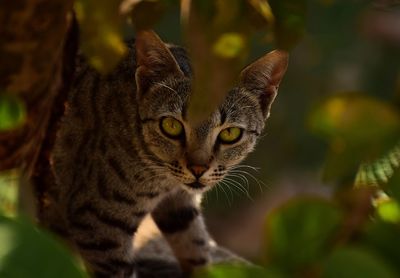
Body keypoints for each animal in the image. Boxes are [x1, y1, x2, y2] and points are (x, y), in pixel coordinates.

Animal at [50, 31, 288, 278]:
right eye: (171, 125)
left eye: (230, 133)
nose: (198, 169)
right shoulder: (98, 222)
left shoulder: (180, 207)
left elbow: (196, 247)